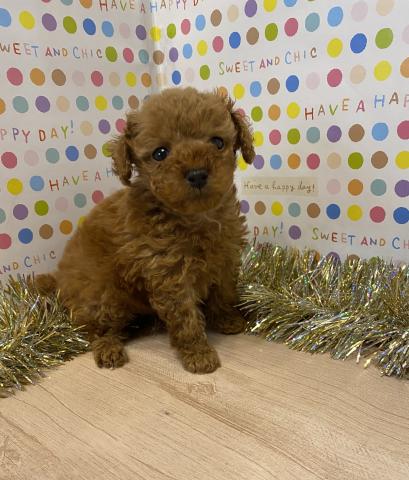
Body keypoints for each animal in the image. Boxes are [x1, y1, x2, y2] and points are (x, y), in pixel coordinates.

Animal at [36, 87, 255, 373]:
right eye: (160, 153)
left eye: (218, 142)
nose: (197, 174)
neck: (195, 217)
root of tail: (59, 281)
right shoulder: (170, 276)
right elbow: (186, 319)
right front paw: (198, 354)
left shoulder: (225, 258)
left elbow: (224, 293)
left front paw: (228, 319)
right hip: (103, 297)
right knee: (96, 330)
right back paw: (109, 350)